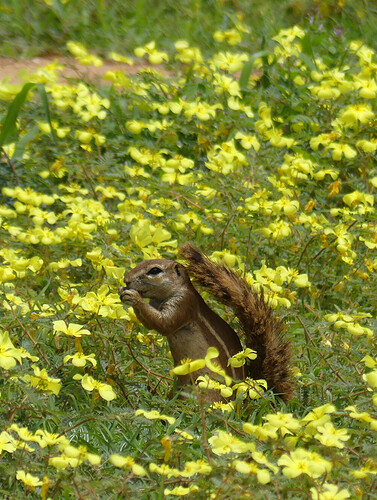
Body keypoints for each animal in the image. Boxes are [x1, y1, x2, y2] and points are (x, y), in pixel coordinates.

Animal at [119, 243, 292, 402]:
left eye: (154, 271)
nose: (126, 280)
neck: (162, 297)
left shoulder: (184, 303)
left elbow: (164, 323)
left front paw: (134, 297)